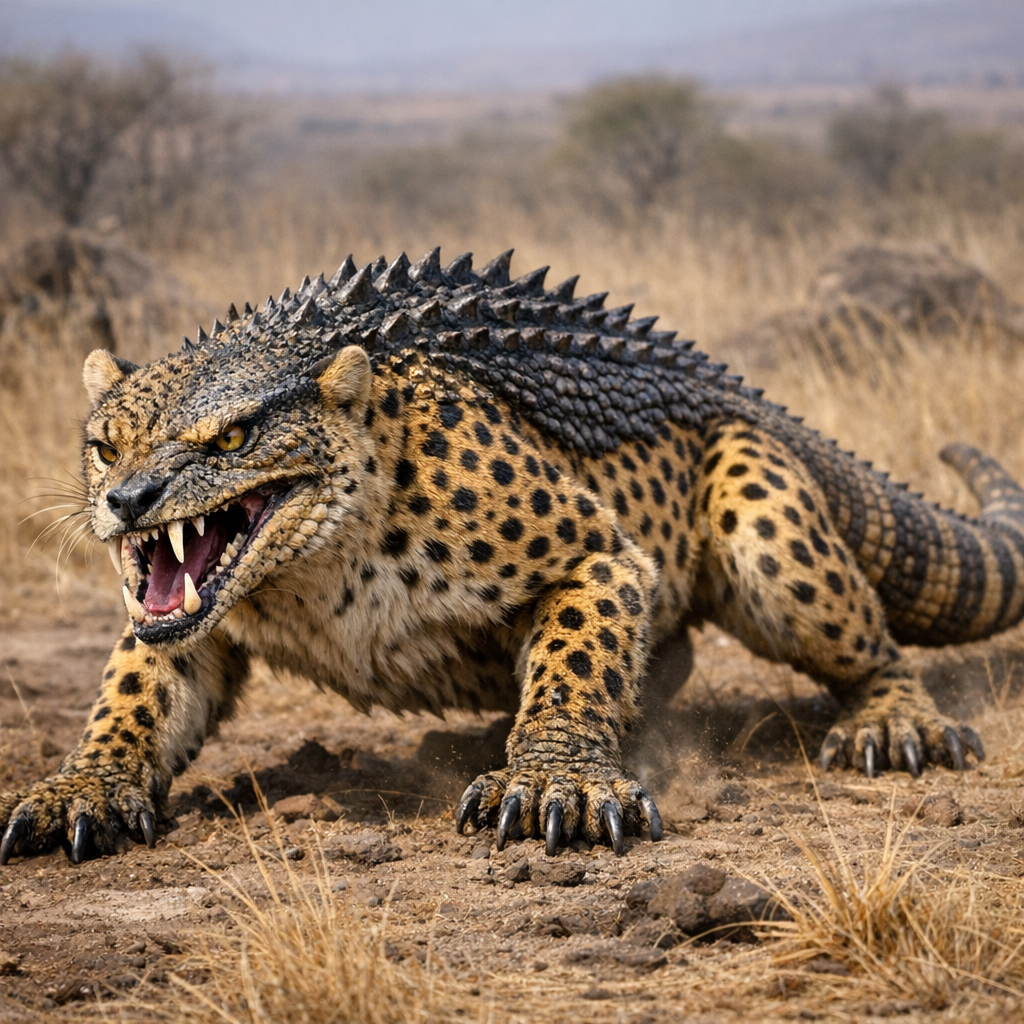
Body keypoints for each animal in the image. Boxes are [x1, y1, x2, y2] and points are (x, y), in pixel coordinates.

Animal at [2, 246, 1022, 865]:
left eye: (232, 437)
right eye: (105, 445)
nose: (126, 503)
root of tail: (728, 380)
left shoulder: (597, 552)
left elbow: (577, 655)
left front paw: (552, 779)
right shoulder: (176, 619)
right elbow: (136, 695)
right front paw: (81, 789)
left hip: (762, 511)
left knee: (869, 646)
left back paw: (897, 722)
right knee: (677, 656)